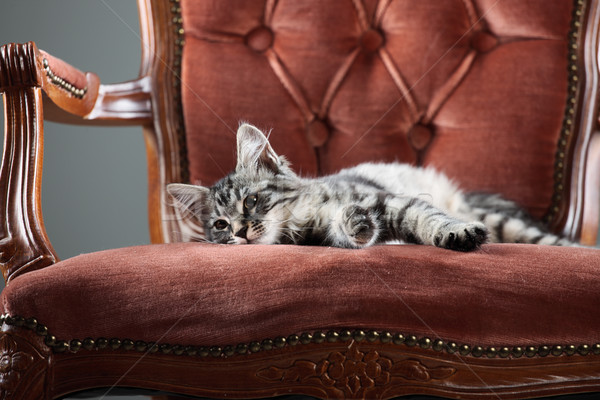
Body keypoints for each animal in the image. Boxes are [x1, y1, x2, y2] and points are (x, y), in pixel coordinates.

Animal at [168, 123, 576, 252]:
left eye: (251, 201)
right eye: (220, 225)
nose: (238, 232)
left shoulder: (393, 200)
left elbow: (430, 220)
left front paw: (456, 233)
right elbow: (349, 231)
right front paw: (357, 223)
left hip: (506, 223)